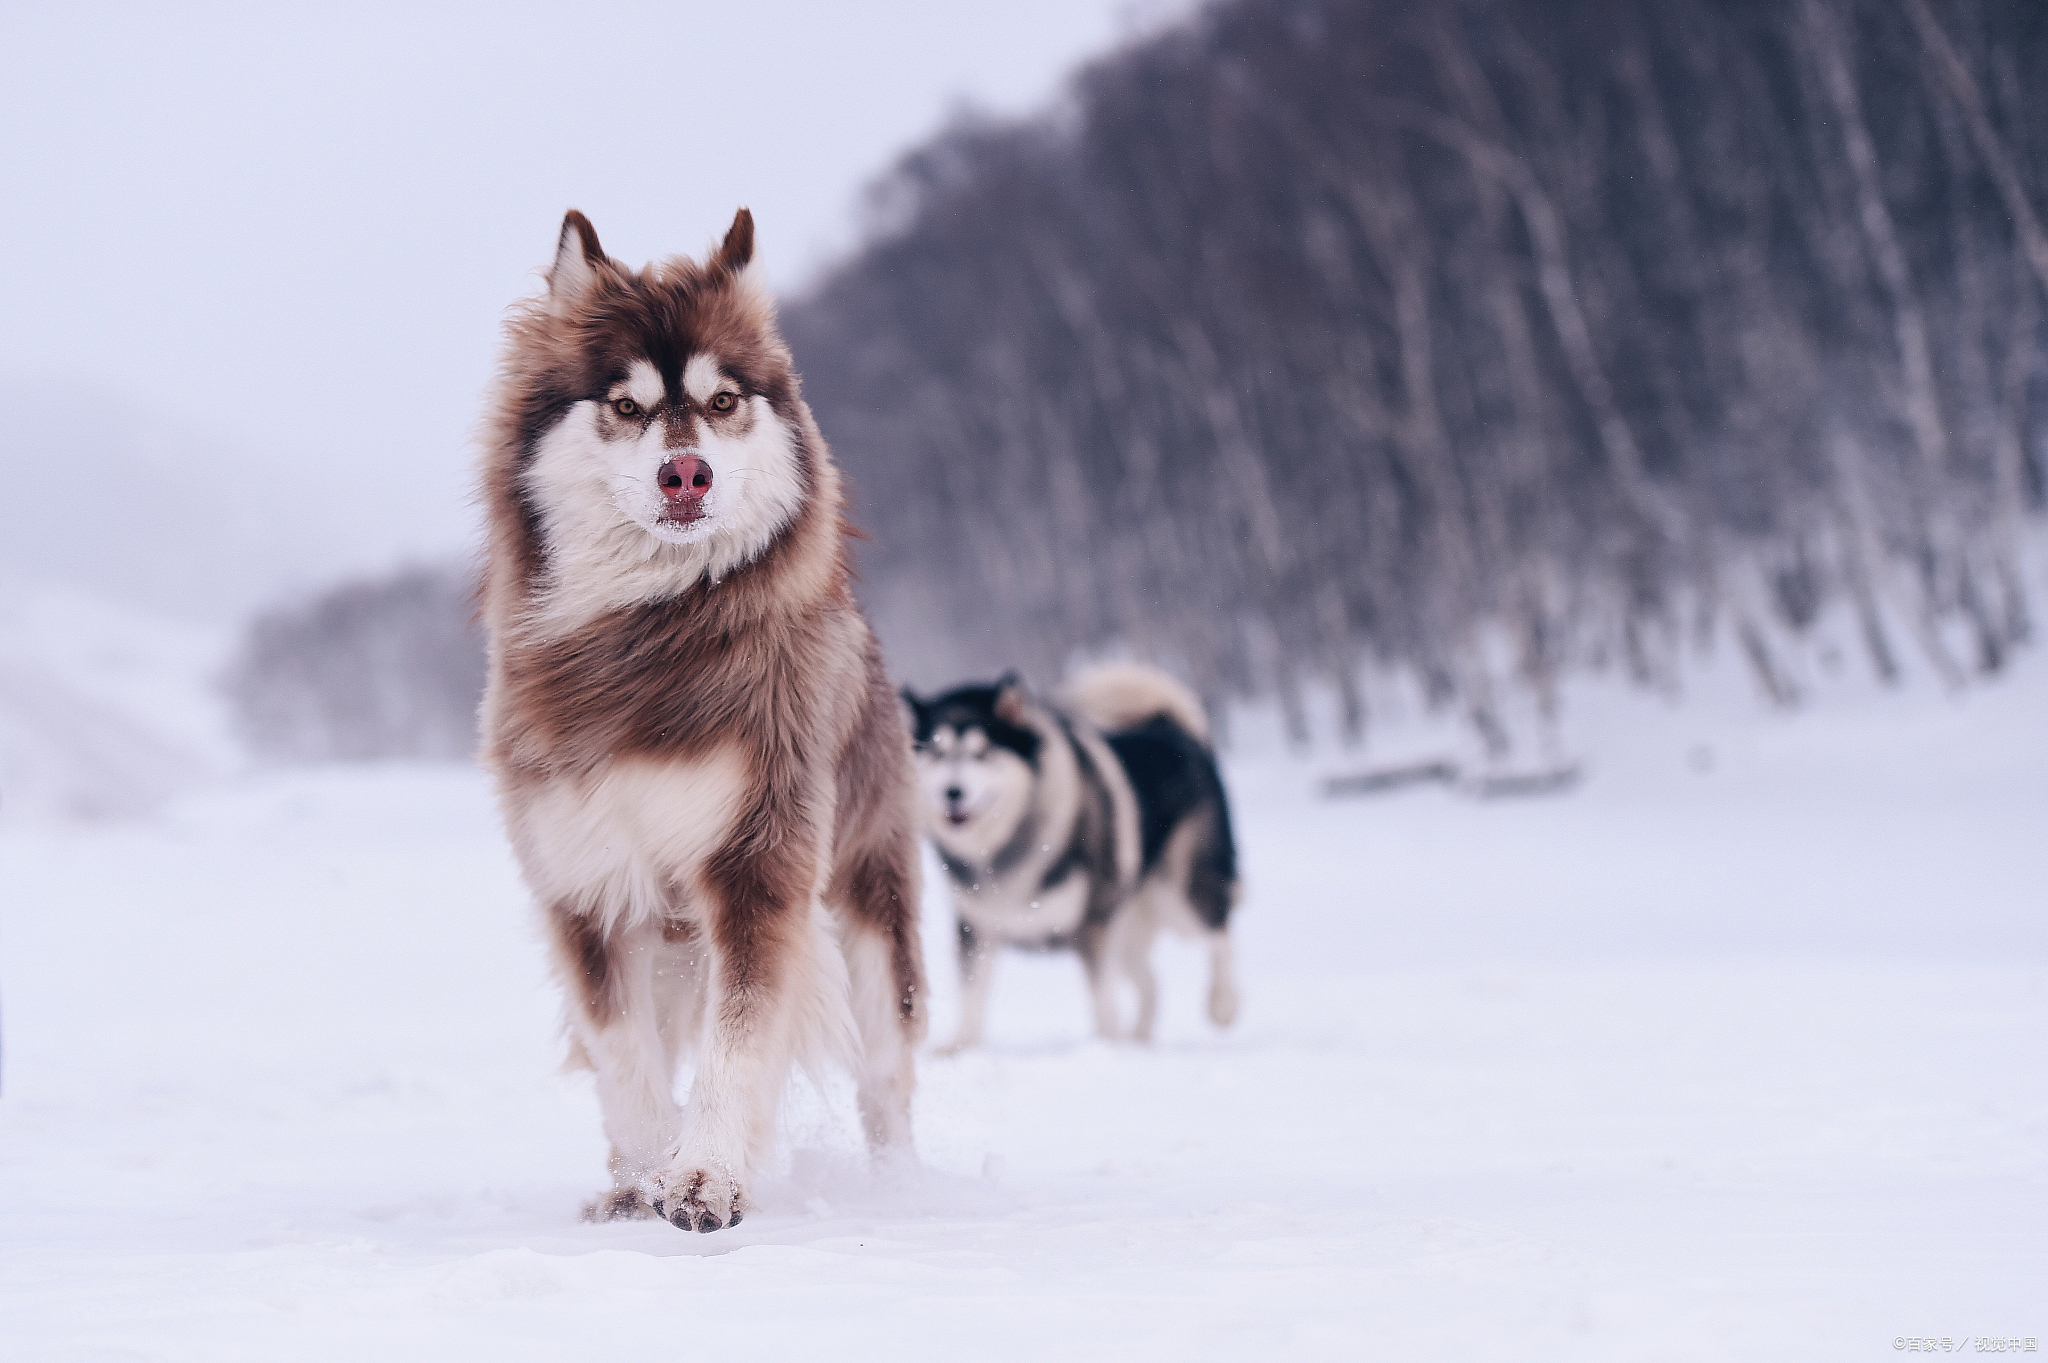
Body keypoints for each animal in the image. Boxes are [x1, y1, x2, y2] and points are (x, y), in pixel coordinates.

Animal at [475, 206, 925, 1227]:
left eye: (722, 402)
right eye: (627, 406)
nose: (688, 475)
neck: (649, 630)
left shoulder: (759, 859)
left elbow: (741, 1037)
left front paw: (705, 1174)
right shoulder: (585, 883)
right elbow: (623, 1056)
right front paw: (645, 1176)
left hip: (868, 905)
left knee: (887, 1075)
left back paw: (897, 1189)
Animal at [905, 663, 1236, 1043]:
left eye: (982, 753)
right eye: (936, 753)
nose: (952, 792)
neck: (1007, 847)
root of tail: (1169, 726)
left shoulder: (1092, 929)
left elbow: (1103, 1002)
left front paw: (1106, 1045)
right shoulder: (977, 927)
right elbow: (972, 995)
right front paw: (961, 1046)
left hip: (1179, 898)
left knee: (1219, 930)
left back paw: (1223, 1004)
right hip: (1128, 929)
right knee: (1152, 985)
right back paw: (1138, 1039)